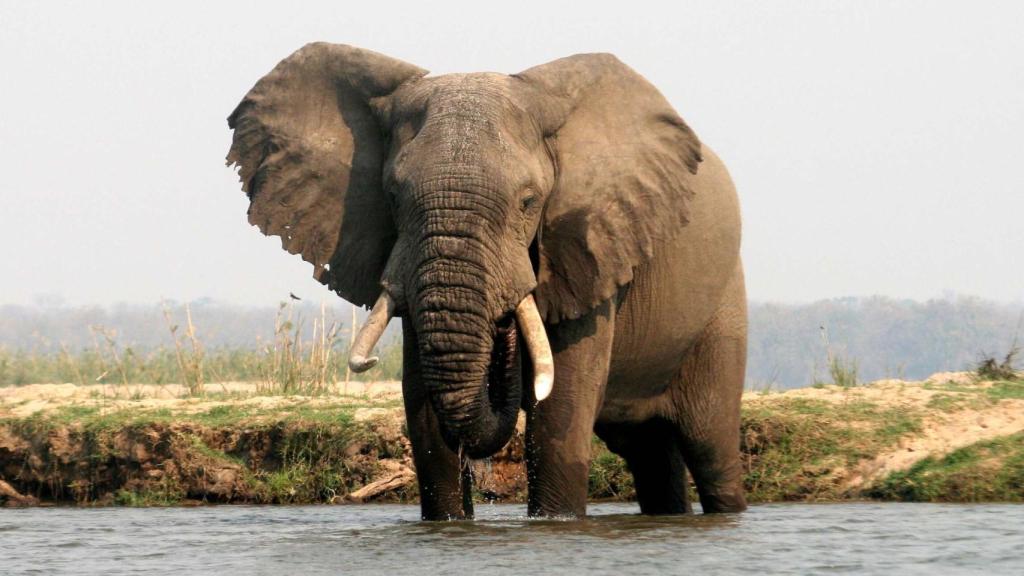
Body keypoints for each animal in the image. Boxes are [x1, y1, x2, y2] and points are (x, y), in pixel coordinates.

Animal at [228, 40, 749, 516]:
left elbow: (560, 410)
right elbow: (423, 407)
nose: (504, 332)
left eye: (529, 202)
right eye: (392, 196)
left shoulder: (591, 253)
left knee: (710, 446)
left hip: (723, 305)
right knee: (649, 455)